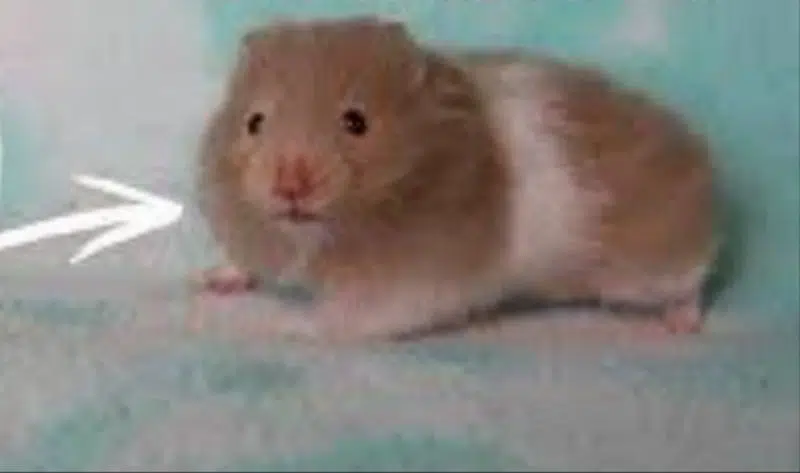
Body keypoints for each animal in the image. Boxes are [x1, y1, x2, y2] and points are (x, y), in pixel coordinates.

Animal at [194, 16, 718, 343]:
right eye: (254, 122)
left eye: (356, 122)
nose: (290, 186)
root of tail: (697, 154)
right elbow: (244, 263)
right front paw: (211, 281)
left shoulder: (409, 284)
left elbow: (346, 318)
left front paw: (286, 330)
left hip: (649, 270)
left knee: (692, 280)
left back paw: (678, 327)